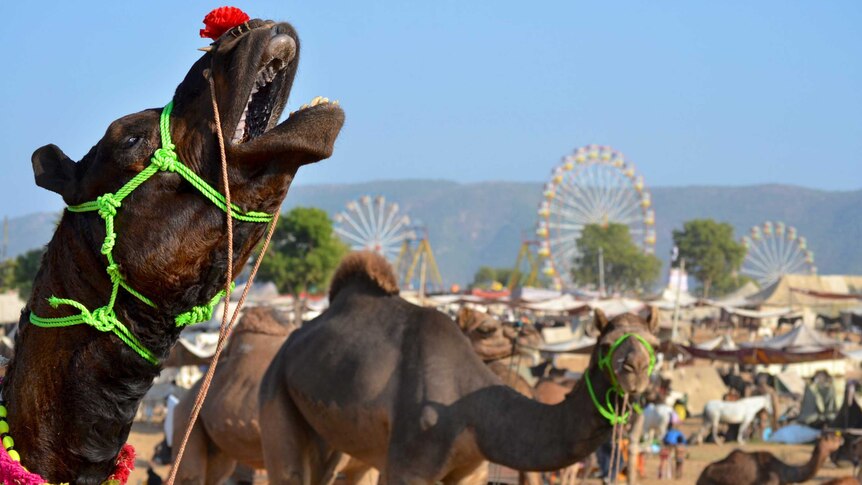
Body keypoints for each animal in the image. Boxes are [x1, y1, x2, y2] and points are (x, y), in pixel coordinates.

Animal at [260, 251, 660, 484]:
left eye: (654, 346)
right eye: (606, 346)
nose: (635, 368)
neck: (473, 412)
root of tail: (293, 340)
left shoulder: (465, 469)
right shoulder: (410, 466)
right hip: (275, 388)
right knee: (289, 470)